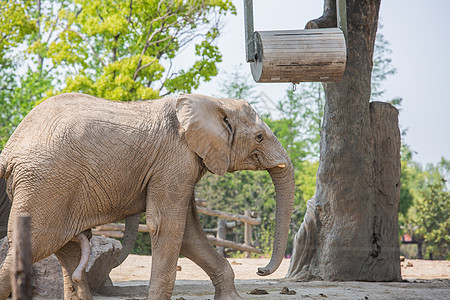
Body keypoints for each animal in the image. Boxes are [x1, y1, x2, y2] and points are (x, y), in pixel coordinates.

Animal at [0, 92, 296, 298]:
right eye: (259, 137)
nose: (260, 270)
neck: (212, 100)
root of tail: (10, 147)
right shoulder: (175, 159)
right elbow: (167, 225)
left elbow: (188, 232)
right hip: (46, 184)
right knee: (33, 246)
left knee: (67, 253)